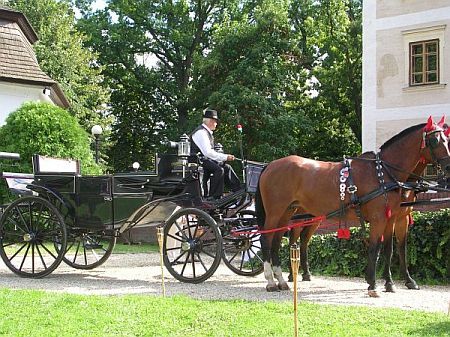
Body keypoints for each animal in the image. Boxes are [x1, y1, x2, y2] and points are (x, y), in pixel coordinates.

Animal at [255, 117, 450, 296]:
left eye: (446, 139)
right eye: (435, 140)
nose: (448, 167)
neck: (382, 173)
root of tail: (270, 165)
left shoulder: (392, 217)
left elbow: (391, 249)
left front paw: (391, 283)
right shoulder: (379, 218)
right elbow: (375, 248)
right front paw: (373, 284)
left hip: (288, 212)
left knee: (278, 241)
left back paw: (282, 280)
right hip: (275, 212)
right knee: (266, 239)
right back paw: (271, 281)